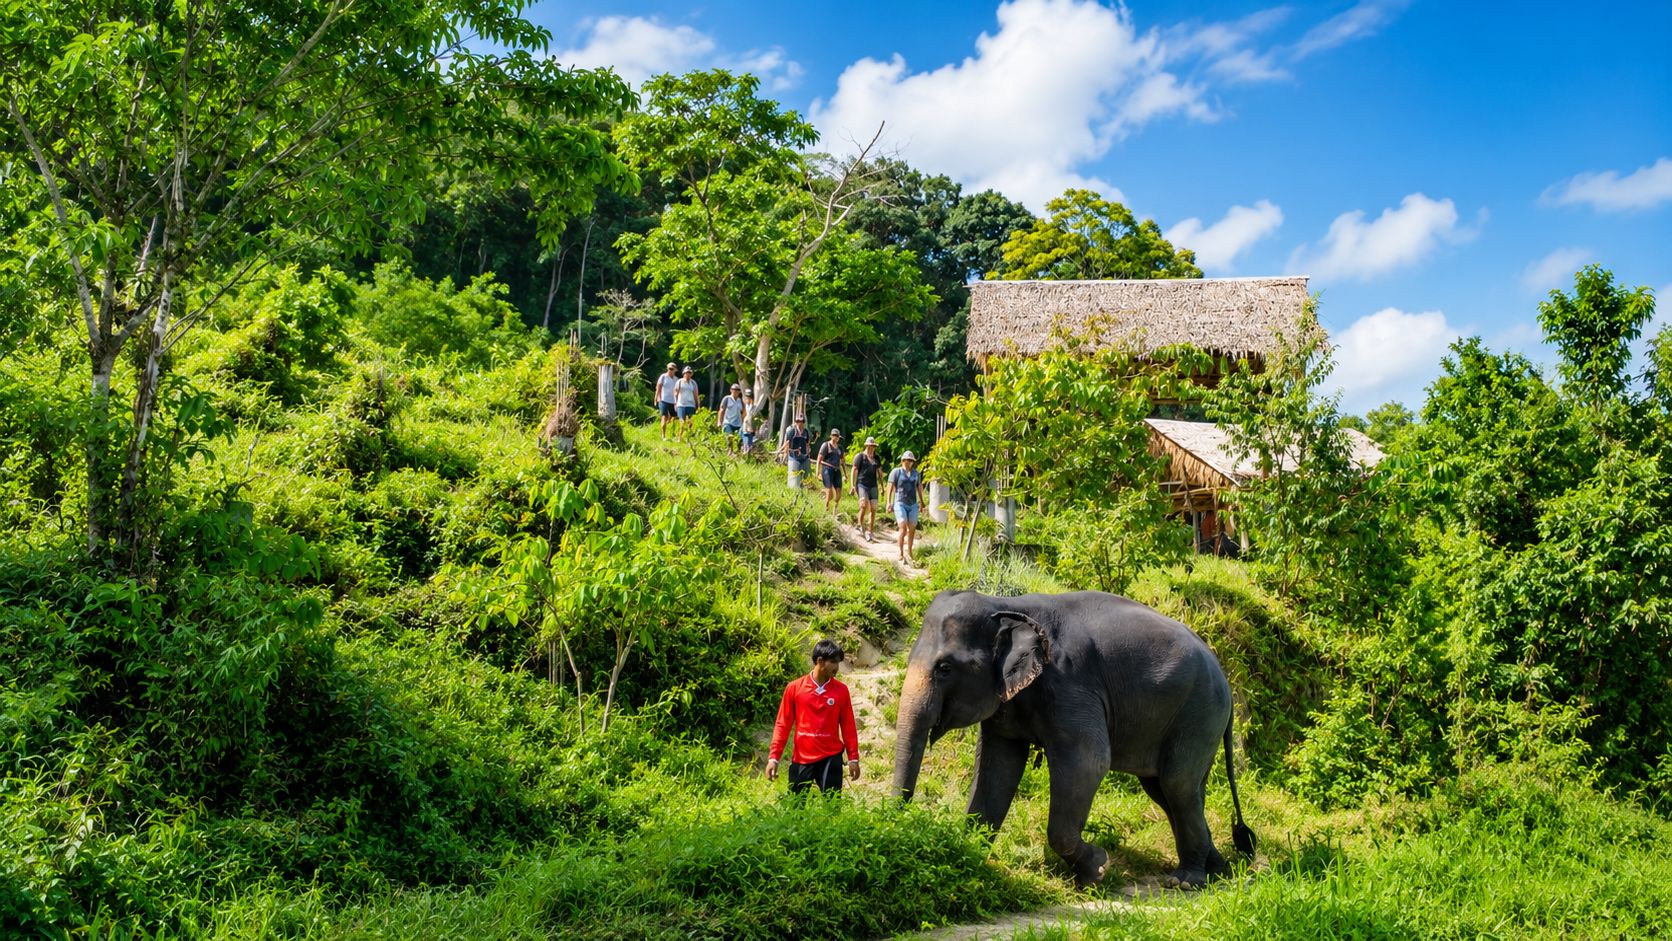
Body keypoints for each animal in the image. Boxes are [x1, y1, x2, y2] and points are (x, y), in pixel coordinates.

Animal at [892, 589, 1255, 888]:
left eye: (945, 668)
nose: (902, 822)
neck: (1005, 604)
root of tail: (1225, 677)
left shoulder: (1070, 683)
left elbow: (1088, 762)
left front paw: (1098, 869)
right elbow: (999, 767)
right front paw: (969, 854)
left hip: (1199, 711)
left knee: (1177, 784)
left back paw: (1188, 881)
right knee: (1169, 790)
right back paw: (1218, 870)